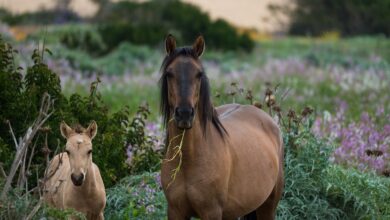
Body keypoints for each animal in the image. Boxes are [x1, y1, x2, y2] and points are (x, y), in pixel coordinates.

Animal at [158, 35, 284, 219]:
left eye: (199, 74)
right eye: (169, 74)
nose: (184, 114)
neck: (189, 159)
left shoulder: (212, 212)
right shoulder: (175, 211)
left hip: (268, 207)